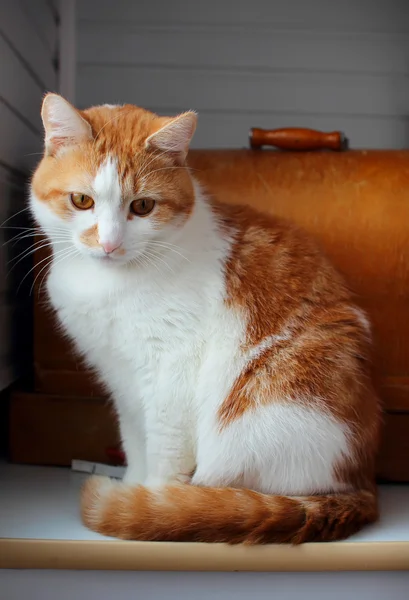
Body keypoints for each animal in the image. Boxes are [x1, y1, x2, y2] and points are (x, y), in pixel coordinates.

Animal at [30, 92, 380, 544]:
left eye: (142, 206)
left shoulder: (172, 373)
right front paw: (133, 488)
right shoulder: (124, 379)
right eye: (82, 201)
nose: (109, 243)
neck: (108, 283)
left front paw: (153, 505)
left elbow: (163, 452)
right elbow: (135, 440)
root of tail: (361, 482)